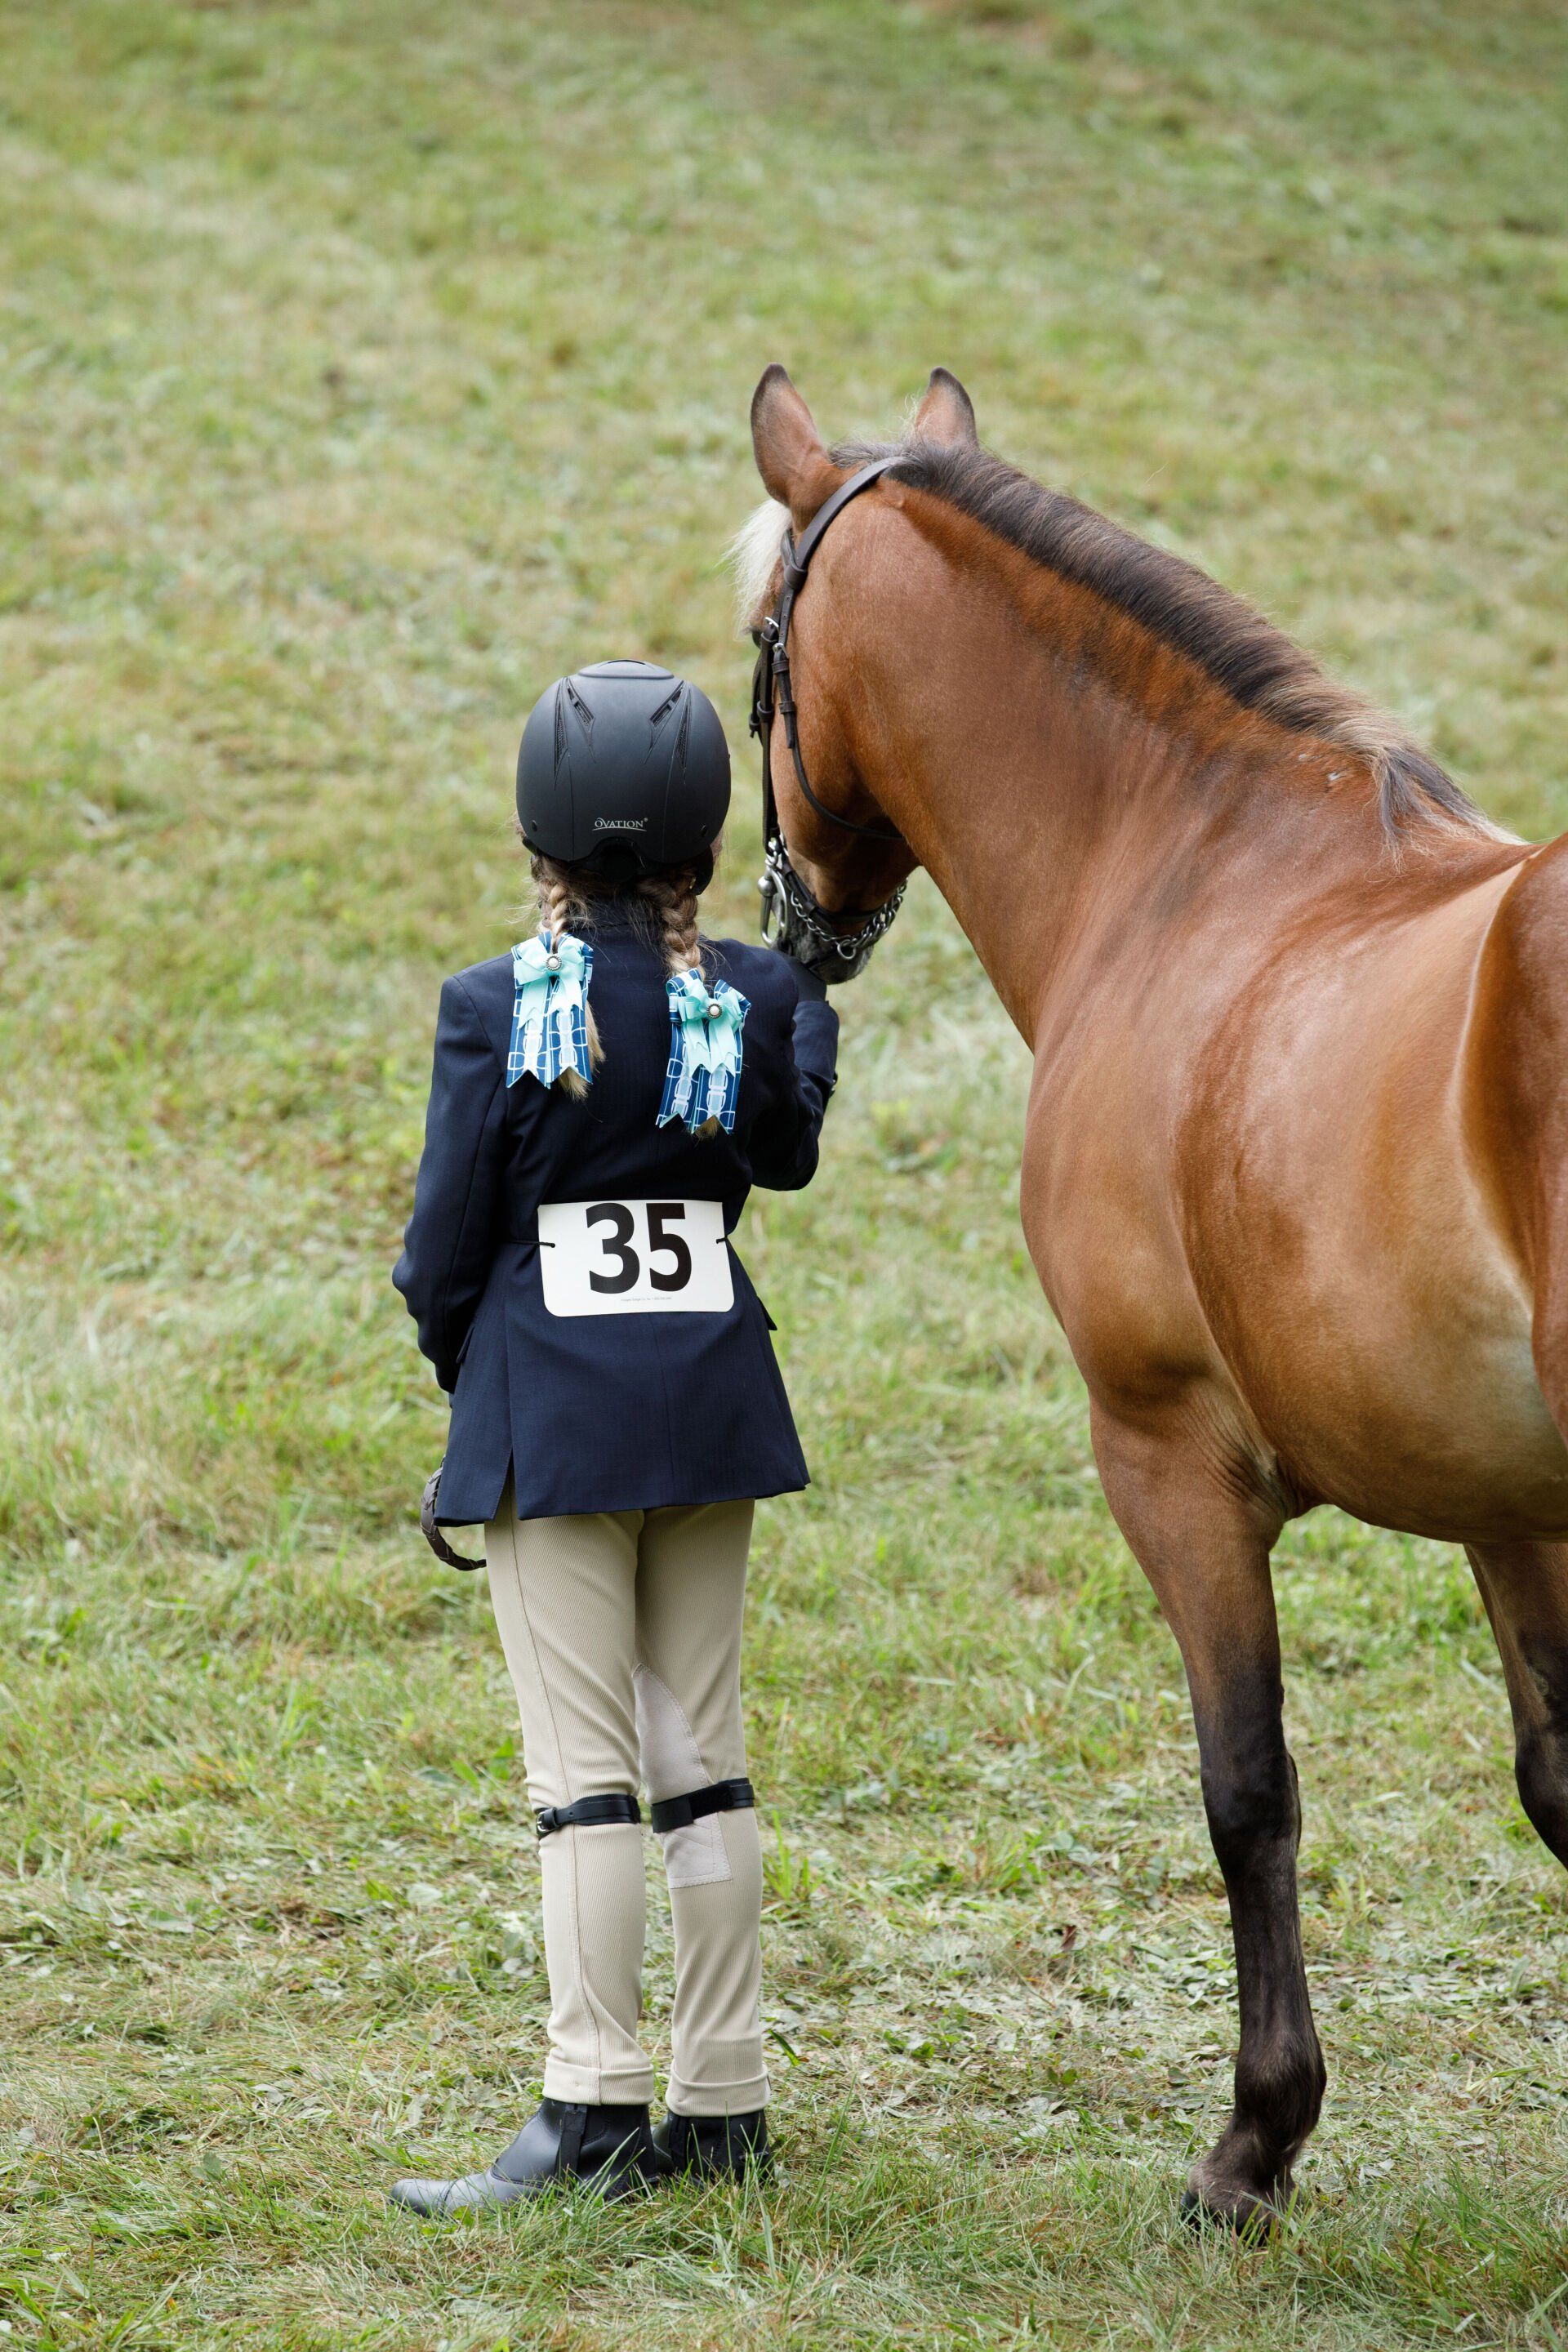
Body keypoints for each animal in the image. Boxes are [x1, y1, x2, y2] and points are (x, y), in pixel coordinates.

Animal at [735, 363, 1568, 2230]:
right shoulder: (1511, 1512)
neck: (1195, 863)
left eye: (760, 642)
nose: (797, 924)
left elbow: (1246, 1794)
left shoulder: (1171, 1461)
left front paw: (1256, 2142)